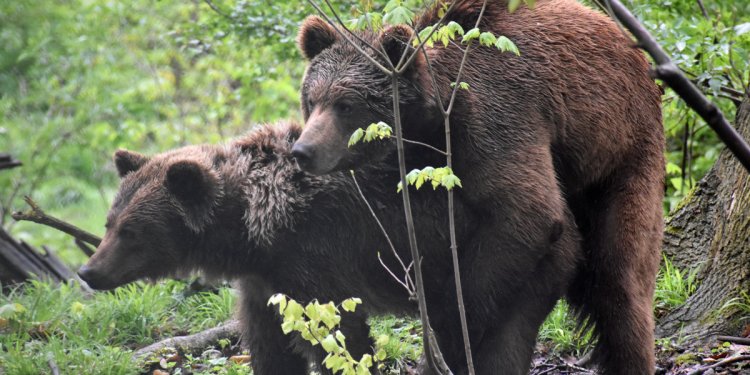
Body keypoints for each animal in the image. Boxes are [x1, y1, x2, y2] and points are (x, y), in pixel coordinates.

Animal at [78, 122, 580, 374]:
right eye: (110, 222)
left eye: (131, 232)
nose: (88, 271)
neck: (252, 230)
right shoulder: (265, 284)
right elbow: (271, 346)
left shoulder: (317, 257)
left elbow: (340, 335)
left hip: (496, 262)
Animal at [294, 0, 668, 375]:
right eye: (311, 100)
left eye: (345, 105)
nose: (302, 150)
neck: (436, 111)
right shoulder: (425, 159)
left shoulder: (497, 119)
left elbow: (526, 212)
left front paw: (450, 326)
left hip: (622, 149)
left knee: (619, 278)